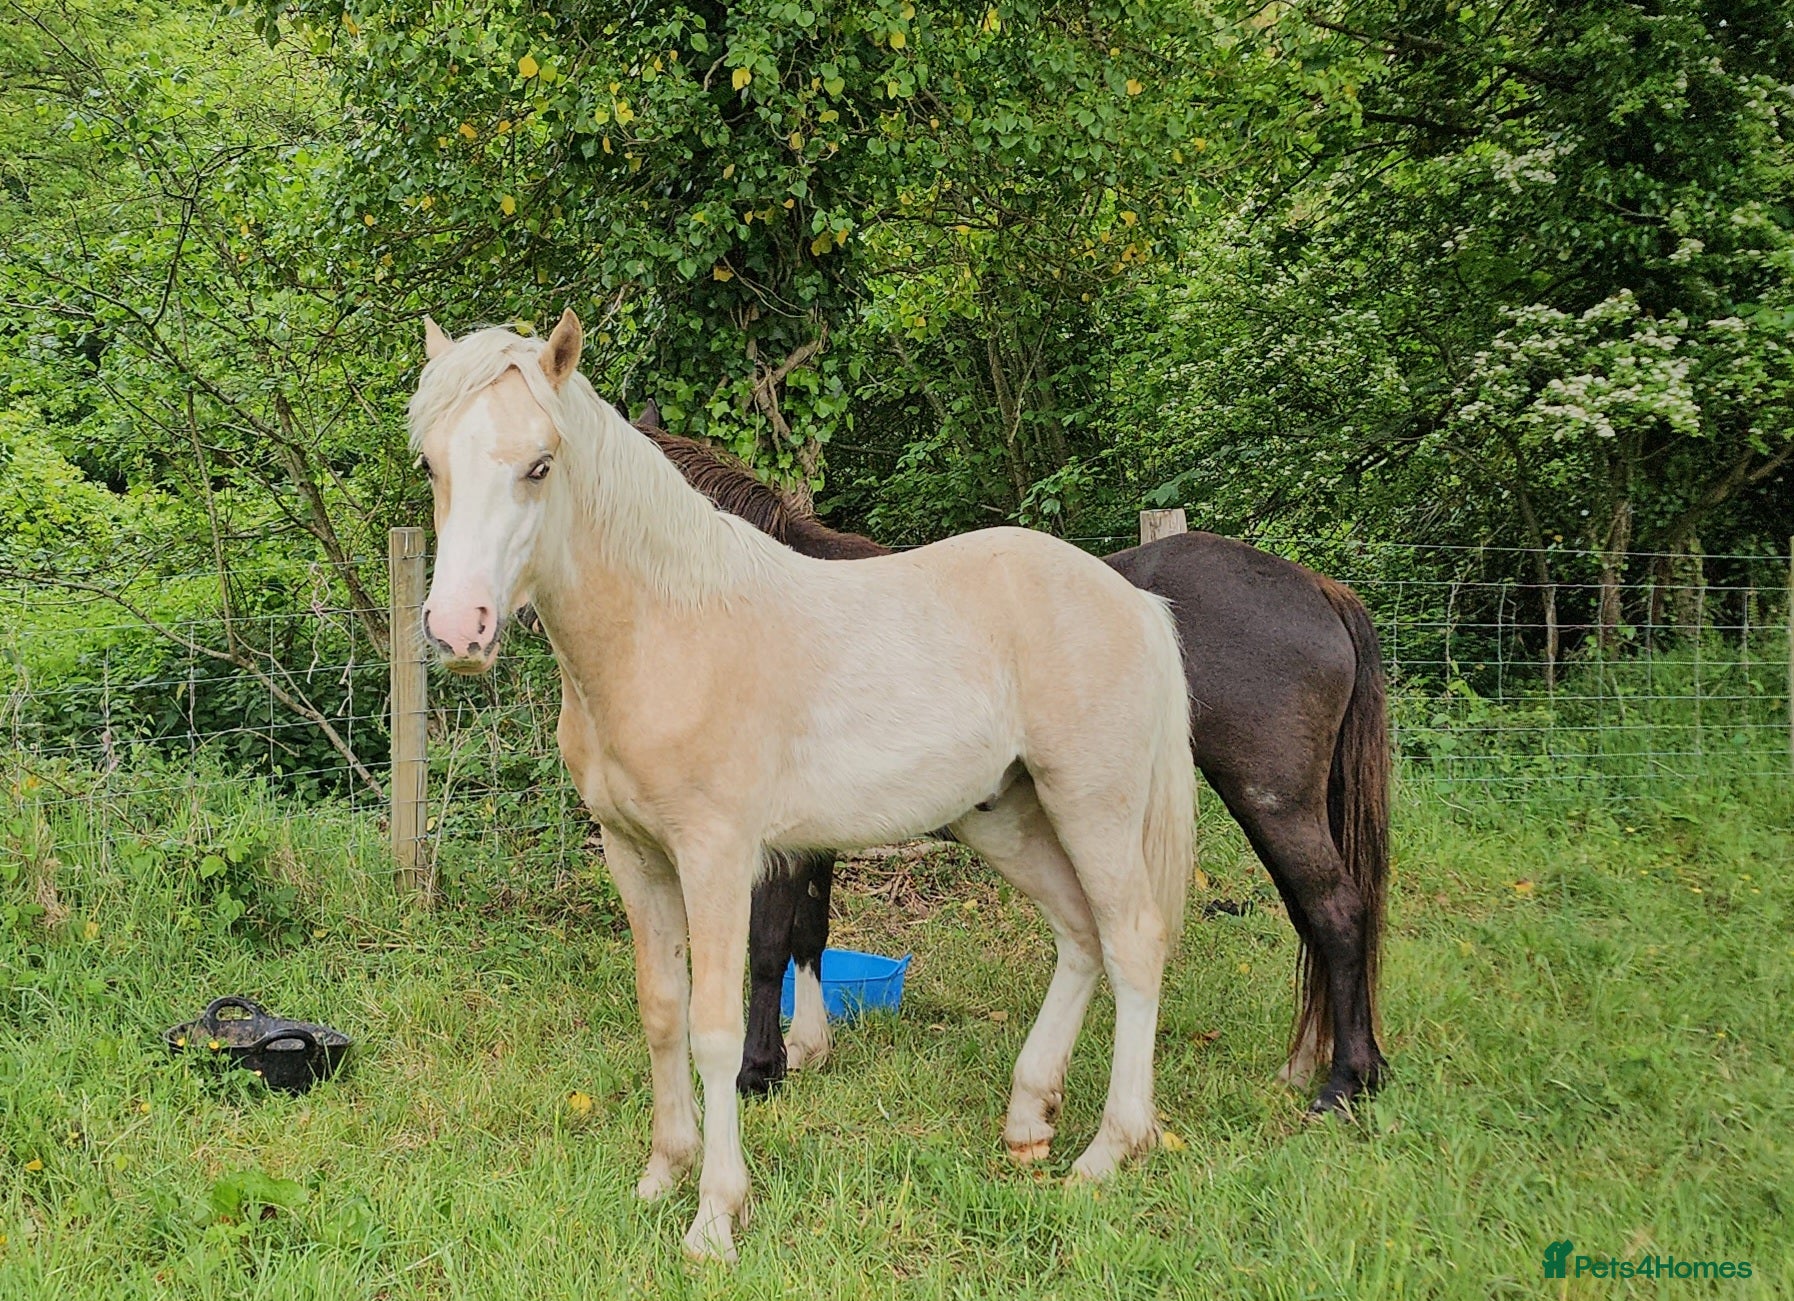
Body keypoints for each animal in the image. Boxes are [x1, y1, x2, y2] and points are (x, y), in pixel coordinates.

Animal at [410, 312, 1197, 1262]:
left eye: (539, 464)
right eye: (432, 464)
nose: (460, 629)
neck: (668, 629)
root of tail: (1133, 599)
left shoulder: (719, 856)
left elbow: (718, 1023)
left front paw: (716, 1215)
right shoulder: (634, 855)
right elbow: (662, 1011)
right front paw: (661, 1174)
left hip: (1094, 806)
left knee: (1133, 941)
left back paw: (1110, 1150)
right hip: (1007, 815)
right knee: (1080, 934)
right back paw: (1028, 1118)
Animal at [624, 404, 1391, 1116]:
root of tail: (1316, 588)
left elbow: (766, 945)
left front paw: (758, 1071)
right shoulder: (814, 830)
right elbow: (809, 931)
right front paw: (809, 1048)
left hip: (1270, 799)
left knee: (1337, 911)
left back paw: (1345, 1082)